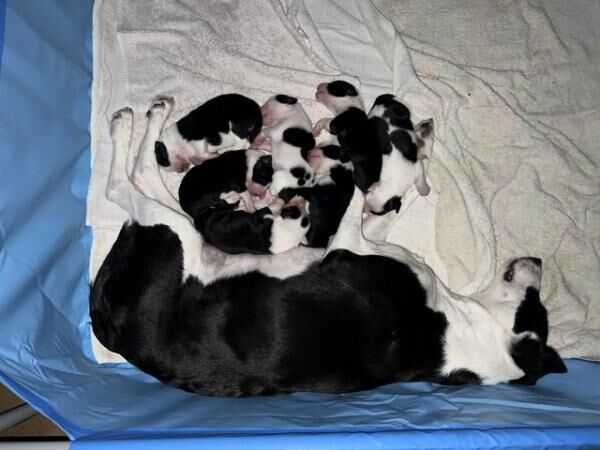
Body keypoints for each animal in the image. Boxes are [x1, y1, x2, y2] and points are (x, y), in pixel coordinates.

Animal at [90, 96, 568, 398]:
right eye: (538, 304)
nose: (538, 261)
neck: (457, 332)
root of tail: (105, 321)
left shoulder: (347, 243)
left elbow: (358, 186)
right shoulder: (368, 233)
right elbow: (387, 202)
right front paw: (419, 144)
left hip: (175, 232)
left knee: (126, 182)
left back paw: (130, 122)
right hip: (181, 226)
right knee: (143, 178)